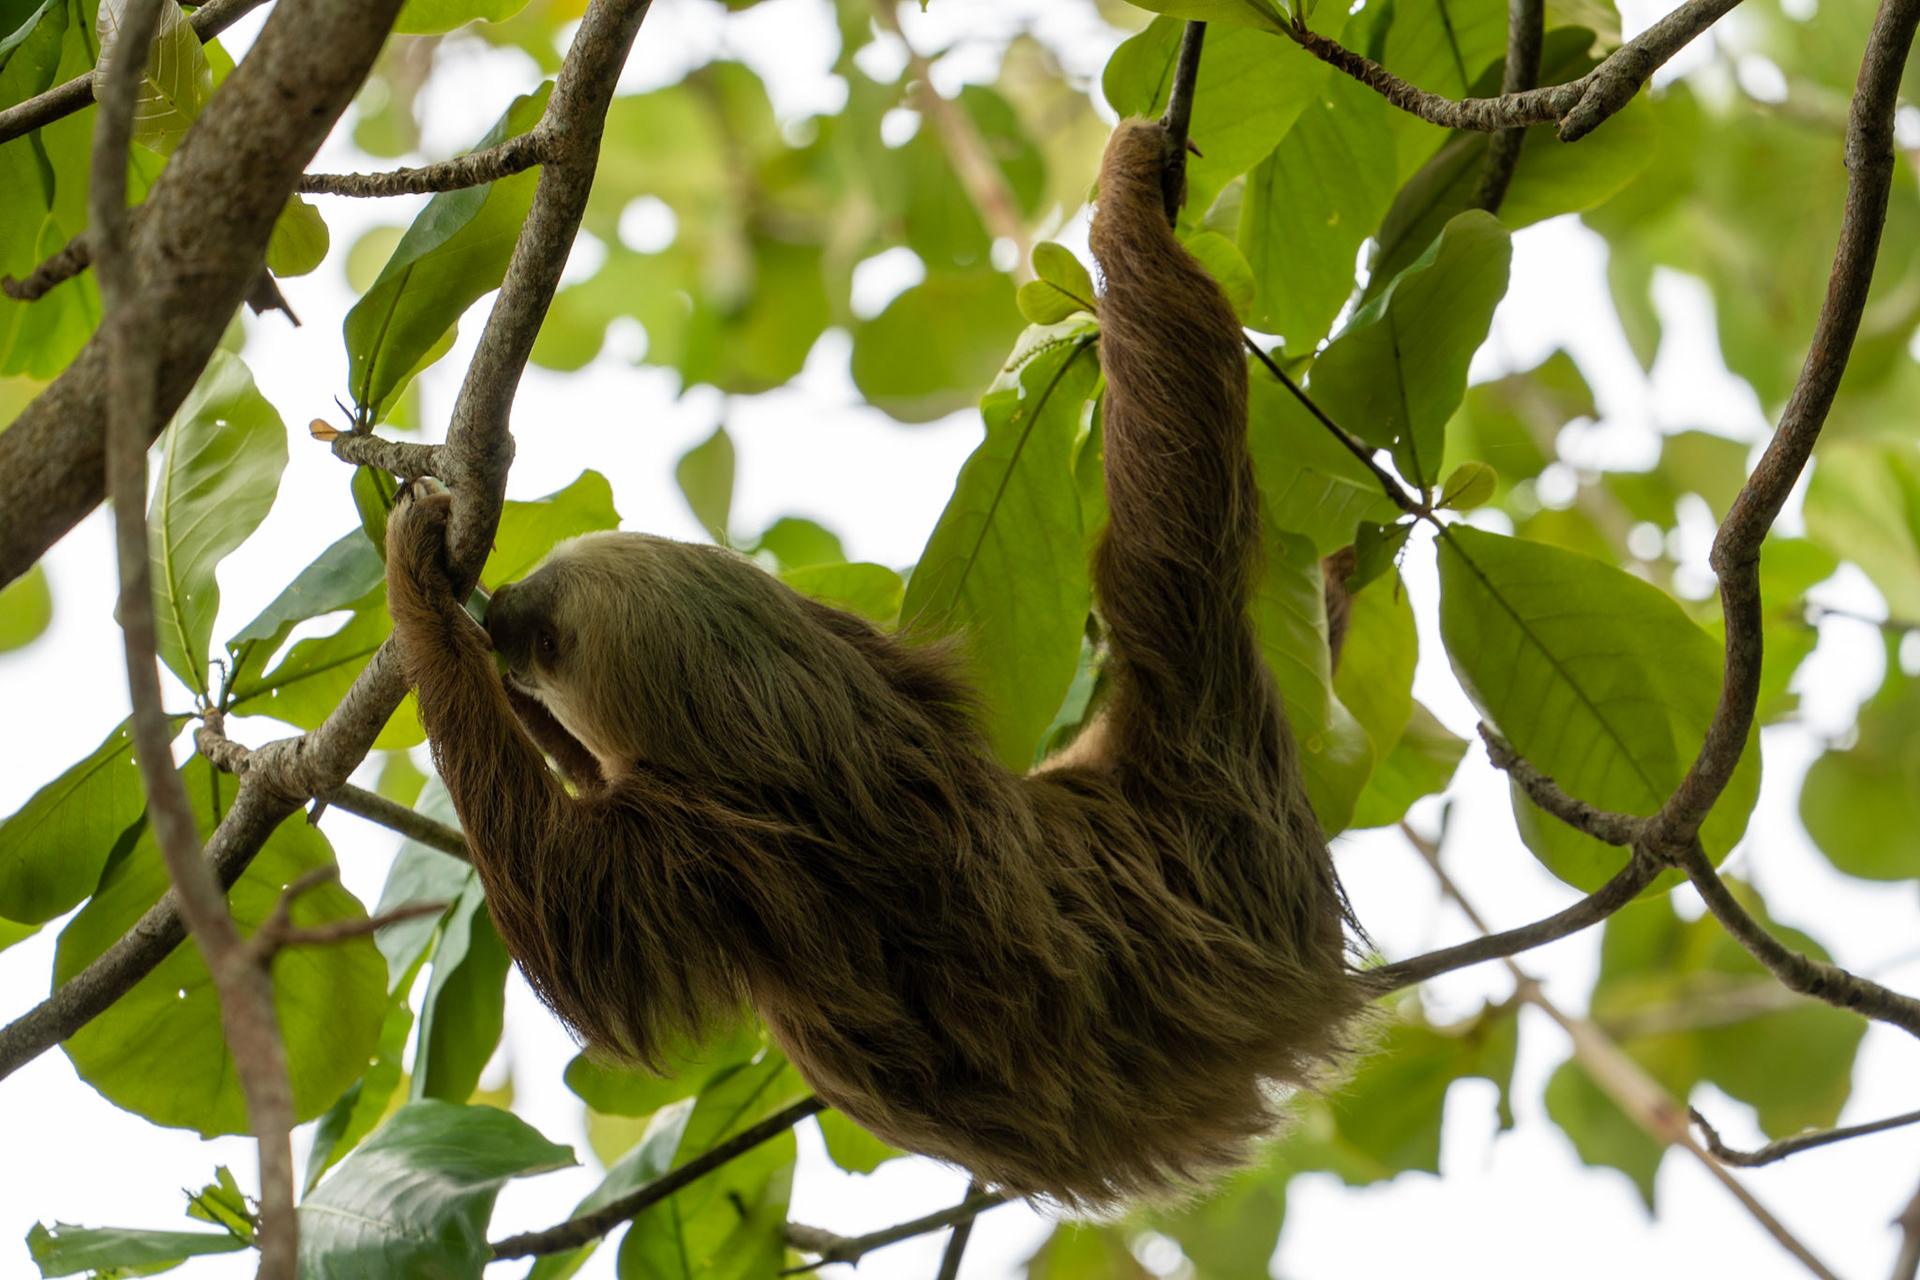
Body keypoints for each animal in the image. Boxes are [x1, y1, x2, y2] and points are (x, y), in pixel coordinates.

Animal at [381, 117, 1365, 1208]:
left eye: (556, 637)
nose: (510, 610)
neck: (800, 739)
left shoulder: (709, 854)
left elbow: (569, 920)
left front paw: (420, 589)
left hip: (1203, 777)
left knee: (1169, 548)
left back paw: (1127, 211)